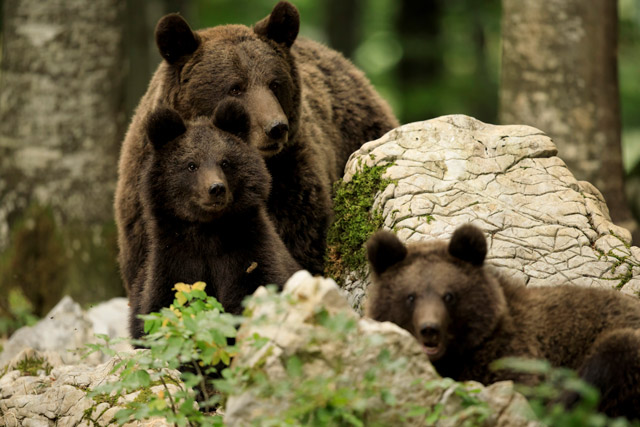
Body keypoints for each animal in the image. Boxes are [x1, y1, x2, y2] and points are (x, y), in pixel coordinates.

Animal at [128, 99, 300, 339]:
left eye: (225, 162)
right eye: (191, 165)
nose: (216, 188)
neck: (209, 231)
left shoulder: (247, 250)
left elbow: (254, 287)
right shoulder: (175, 259)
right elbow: (161, 309)